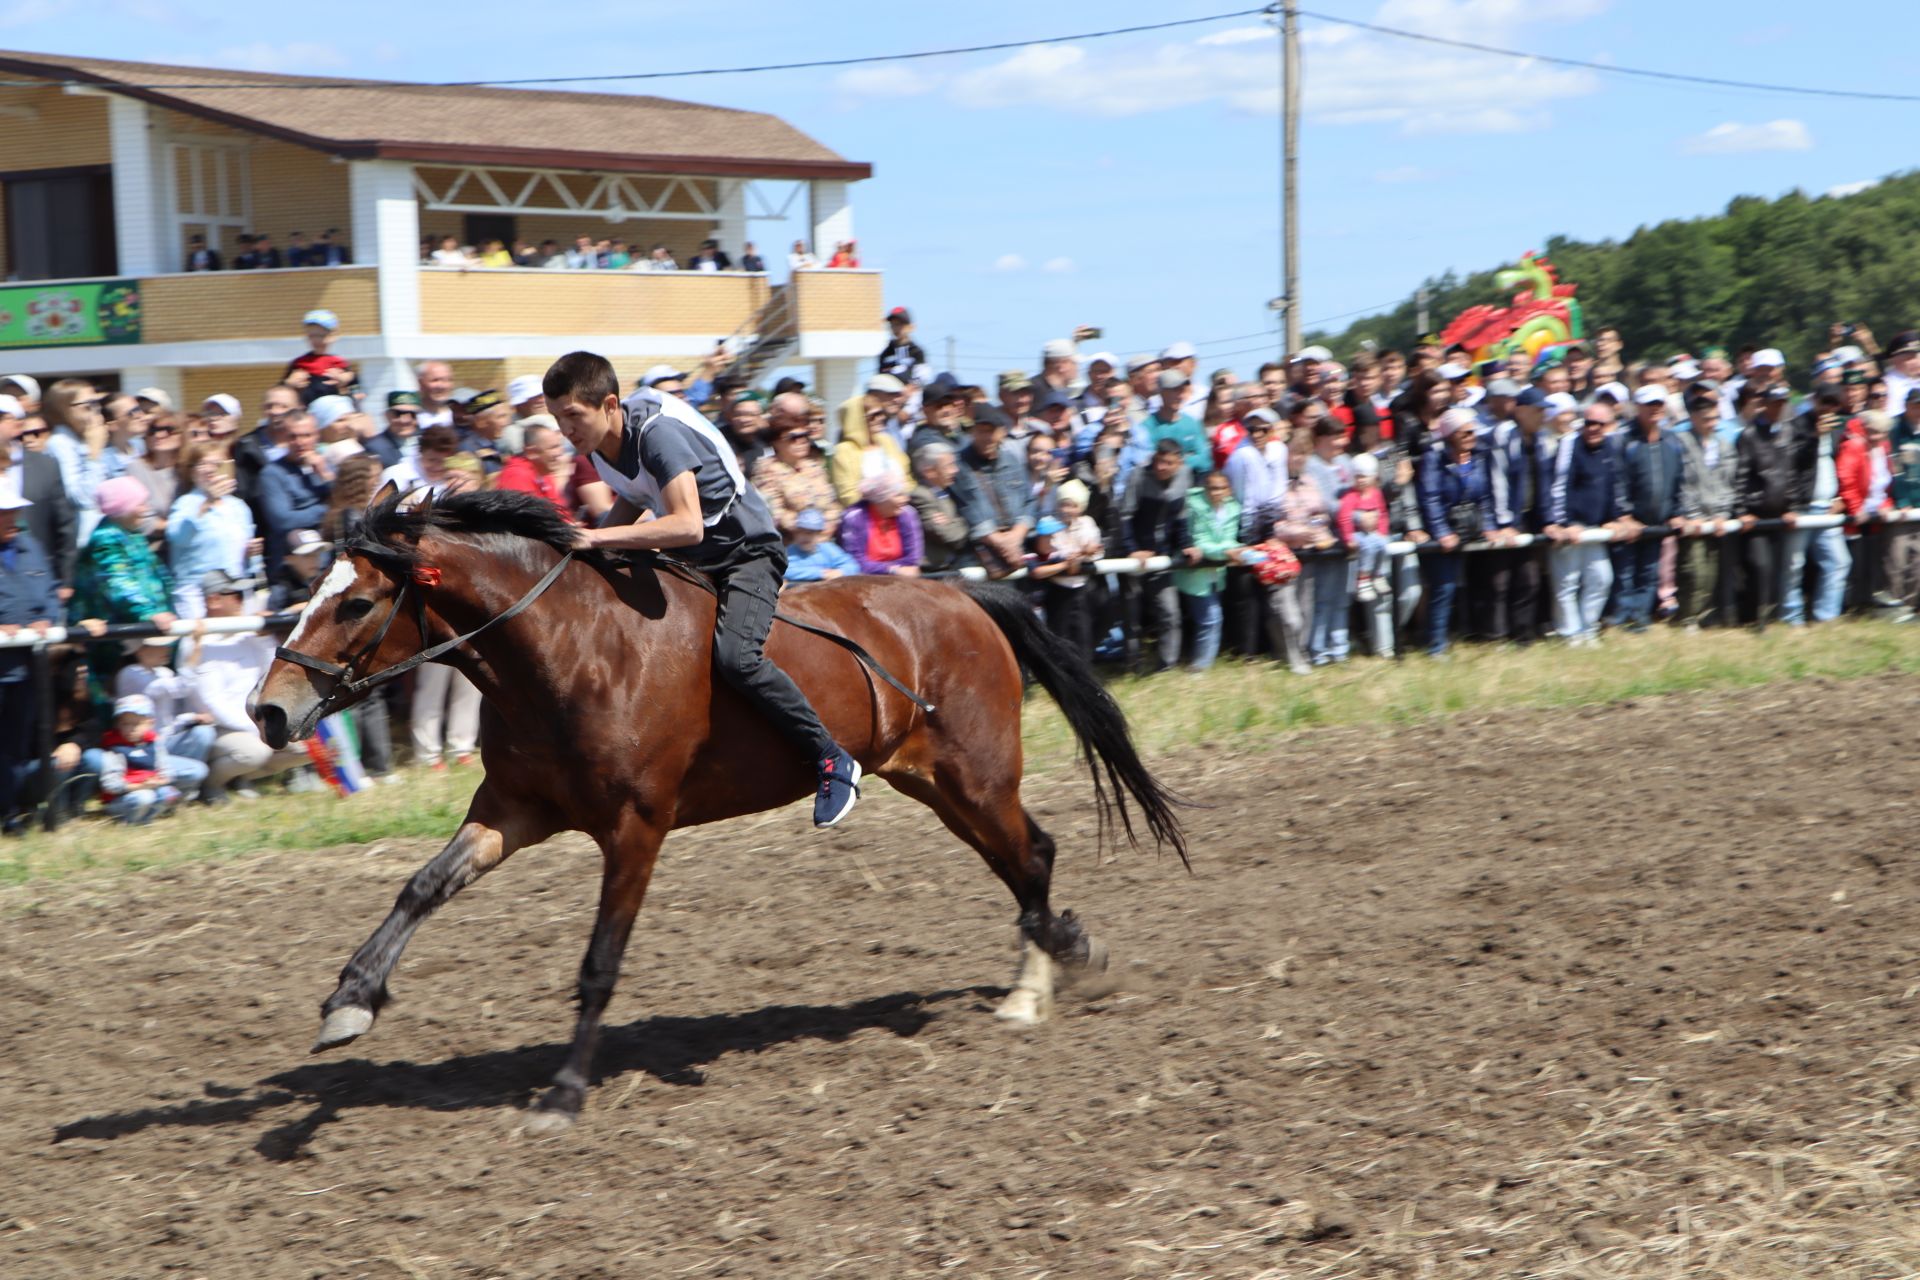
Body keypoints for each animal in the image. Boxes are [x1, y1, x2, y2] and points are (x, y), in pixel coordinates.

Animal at [255, 491, 1182, 1128]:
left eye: (356, 602)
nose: (267, 711)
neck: (568, 650)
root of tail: (964, 594)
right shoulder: (512, 808)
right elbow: (420, 887)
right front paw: (351, 1000)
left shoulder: (636, 827)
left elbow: (599, 963)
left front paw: (563, 1092)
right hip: (933, 781)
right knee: (1029, 858)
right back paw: (1047, 966)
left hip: (975, 777)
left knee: (1031, 857)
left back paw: (1042, 979)